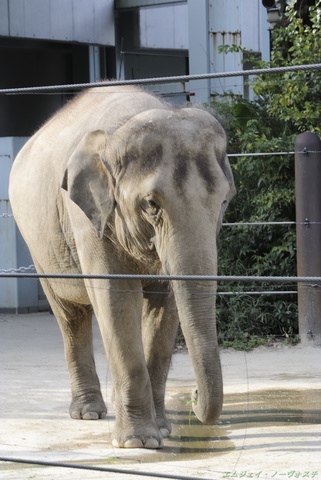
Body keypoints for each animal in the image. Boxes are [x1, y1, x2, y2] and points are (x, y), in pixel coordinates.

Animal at [9, 85, 235, 450]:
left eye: (224, 201)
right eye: (151, 204)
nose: (194, 396)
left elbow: (166, 305)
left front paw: (162, 430)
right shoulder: (87, 216)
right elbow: (116, 298)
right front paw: (138, 443)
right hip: (38, 246)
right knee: (70, 315)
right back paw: (88, 413)